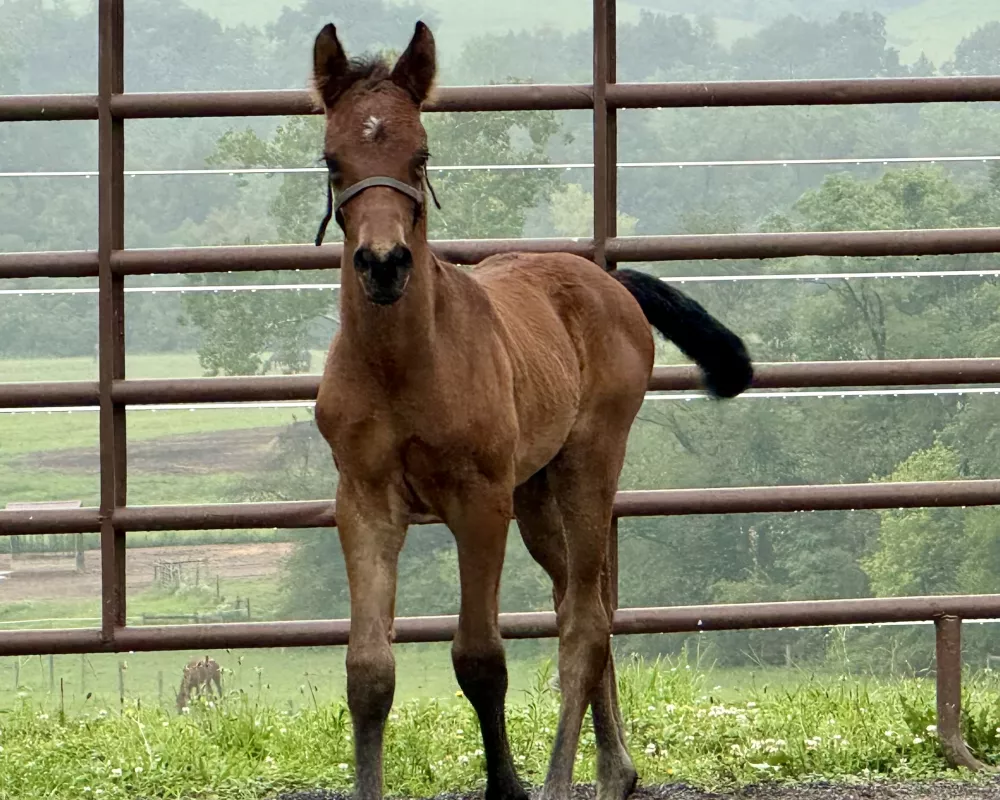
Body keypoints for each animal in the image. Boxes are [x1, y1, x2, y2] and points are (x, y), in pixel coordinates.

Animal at [310, 20, 752, 800]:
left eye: (420, 155)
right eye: (334, 160)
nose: (384, 263)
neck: (402, 364)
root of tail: (609, 281)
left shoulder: (478, 502)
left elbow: (480, 657)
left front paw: (508, 786)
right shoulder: (362, 501)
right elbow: (368, 671)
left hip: (587, 469)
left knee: (582, 623)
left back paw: (563, 778)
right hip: (536, 495)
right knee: (584, 603)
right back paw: (617, 770)